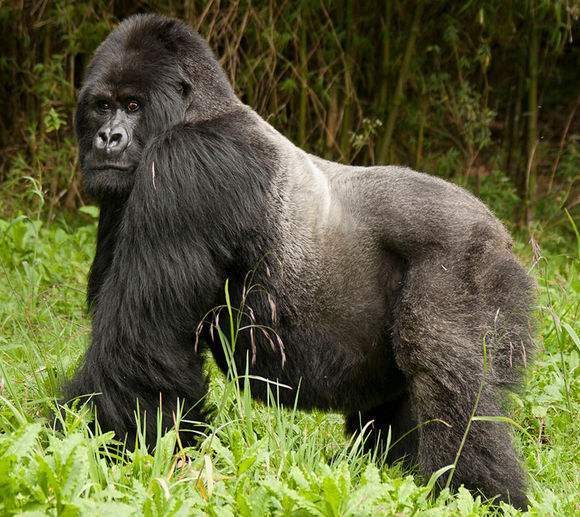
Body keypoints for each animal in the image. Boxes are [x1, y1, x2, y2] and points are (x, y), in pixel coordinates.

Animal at [63, 13, 536, 508]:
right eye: (102, 106)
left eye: (134, 105)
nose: (108, 138)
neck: (201, 109)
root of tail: (500, 231)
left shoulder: (182, 168)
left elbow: (138, 347)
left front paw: (98, 447)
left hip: (466, 258)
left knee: (446, 376)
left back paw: (476, 490)